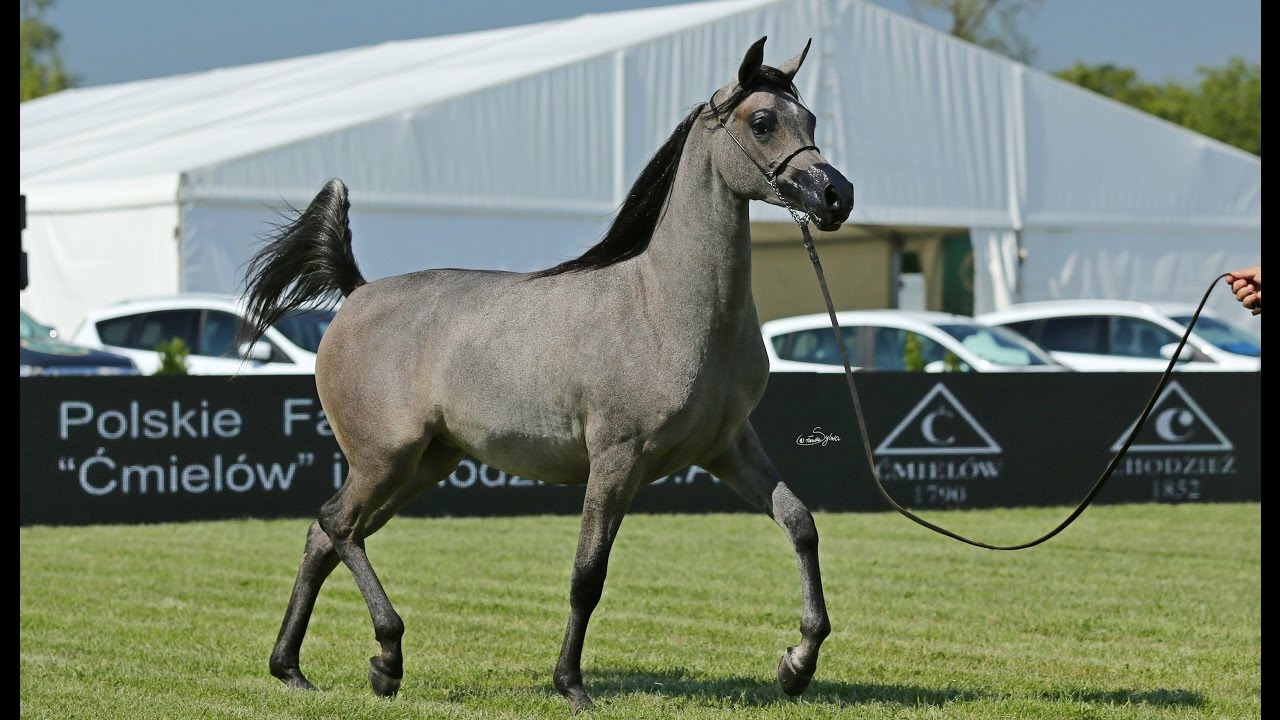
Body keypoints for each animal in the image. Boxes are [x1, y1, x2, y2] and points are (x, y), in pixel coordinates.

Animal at [239, 35, 855, 713]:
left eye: (811, 120)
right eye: (762, 121)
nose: (836, 196)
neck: (666, 306)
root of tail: (357, 292)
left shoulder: (729, 448)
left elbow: (800, 524)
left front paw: (797, 664)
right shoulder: (616, 460)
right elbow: (588, 575)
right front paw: (572, 684)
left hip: (423, 465)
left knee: (325, 536)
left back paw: (293, 669)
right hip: (385, 459)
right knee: (337, 526)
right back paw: (386, 654)